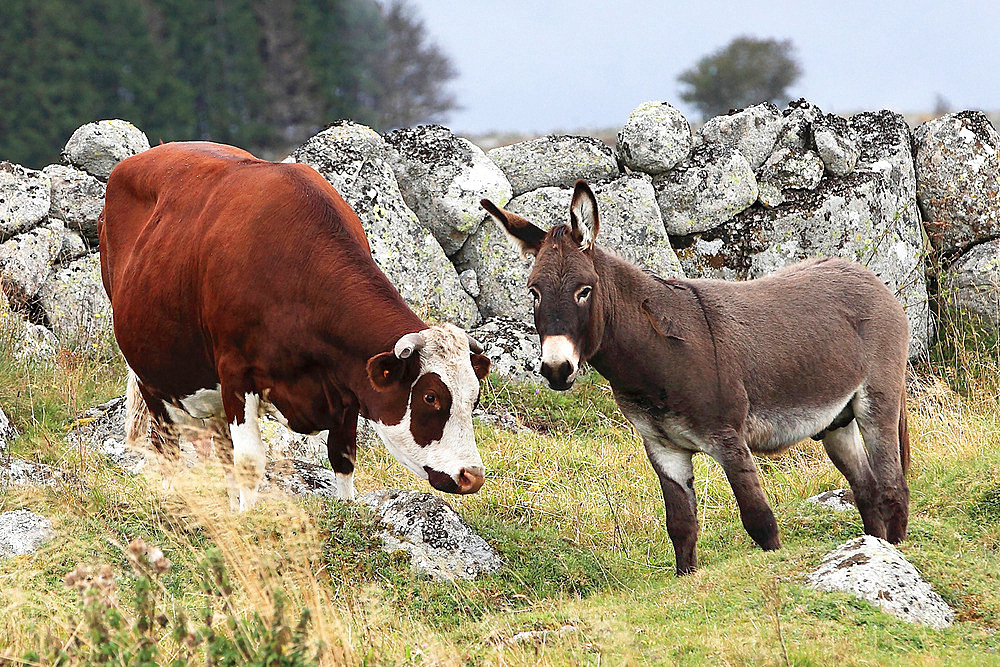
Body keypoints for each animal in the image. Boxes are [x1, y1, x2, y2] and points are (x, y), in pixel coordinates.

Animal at [99, 142, 490, 512]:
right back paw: (172, 499)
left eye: (474, 397)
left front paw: (346, 509)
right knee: (167, 445)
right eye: (430, 397)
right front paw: (248, 519)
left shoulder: (346, 383)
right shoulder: (236, 373)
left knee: (220, 448)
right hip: (151, 376)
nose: (472, 476)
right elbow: (250, 462)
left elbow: (342, 456)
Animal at [480, 181, 912, 576]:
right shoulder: (663, 448)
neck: (655, 360)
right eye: (533, 293)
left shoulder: (728, 439)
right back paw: (873, 545)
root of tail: (867, 276)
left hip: (877, 401)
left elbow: (759, 520)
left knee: (892, 486)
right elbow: (681, 528)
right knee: (866, 488)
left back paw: (894, 552)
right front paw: (686, 575)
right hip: (835, 421)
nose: (556, 369)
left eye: (584, 291)